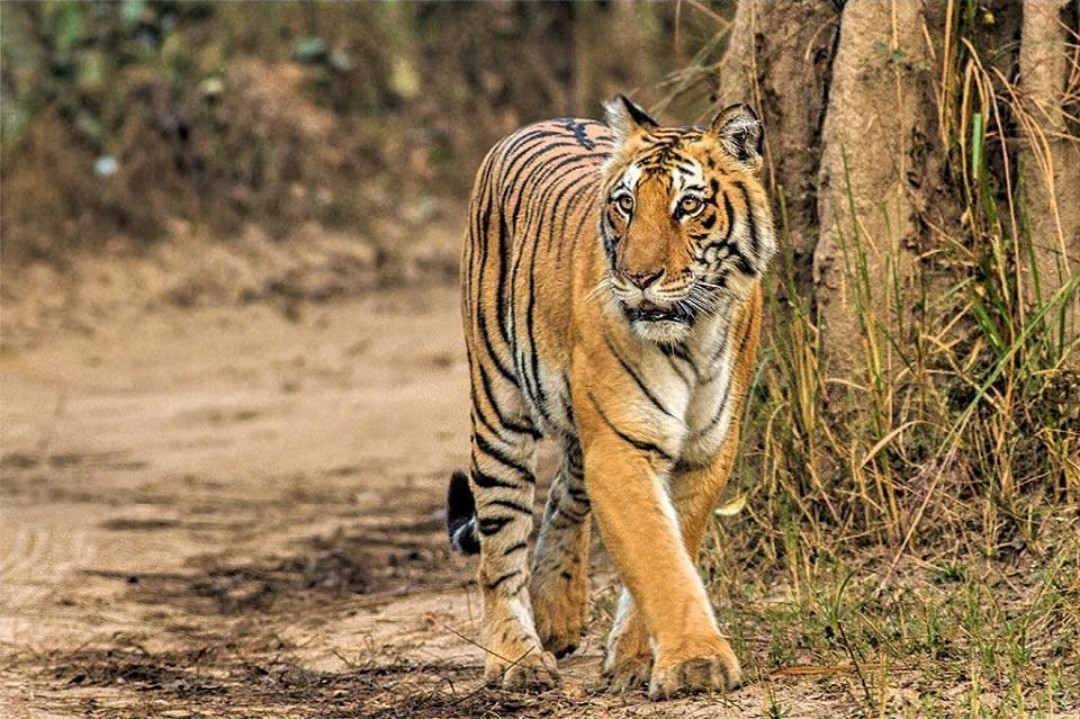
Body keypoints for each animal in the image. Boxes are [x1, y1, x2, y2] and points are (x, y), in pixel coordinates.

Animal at [447, 92, 777, 695]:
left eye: (688, 205)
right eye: (625, 204)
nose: (639, 277)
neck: (691, 336)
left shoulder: (706, 449)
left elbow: (675, 545)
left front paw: (635, 657)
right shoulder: (622, 446)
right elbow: (657, 557)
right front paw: (695, 662)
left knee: (563, 493)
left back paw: (557, 614)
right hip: (498, 405)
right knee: (500, 545)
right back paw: (518, 658)